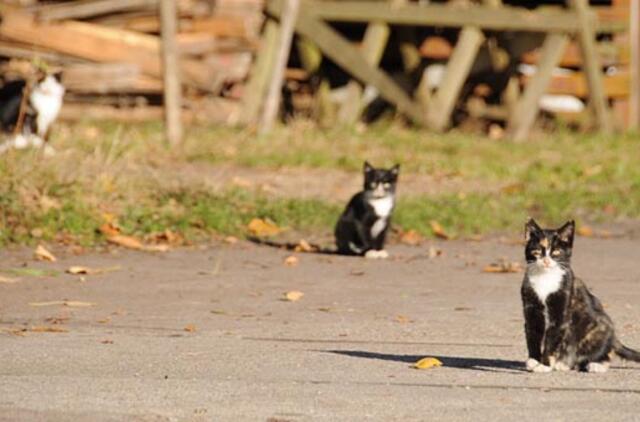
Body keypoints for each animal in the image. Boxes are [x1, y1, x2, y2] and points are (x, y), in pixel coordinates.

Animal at [520, 219, 640, 374]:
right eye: (538, 251)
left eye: (556, 252)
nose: (546, 261)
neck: (544, 278)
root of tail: (614, 338)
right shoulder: (531, 309)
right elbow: (533, 335)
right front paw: (534, 360)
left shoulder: (561, 314)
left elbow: (551, 340)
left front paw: (544, 365)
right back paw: (563, 364)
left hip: (598, 328)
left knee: (605, 354)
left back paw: (595, 365)